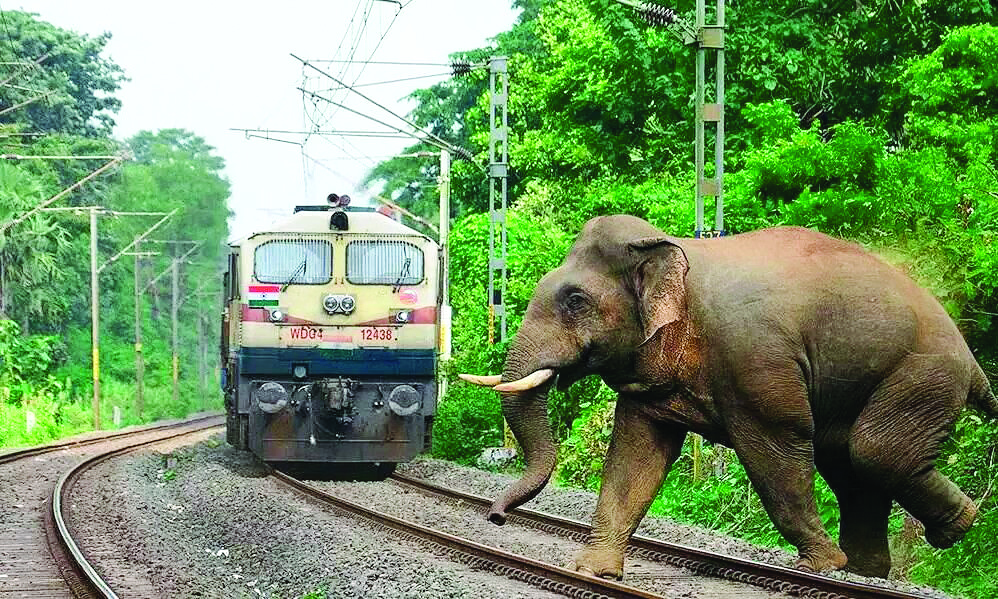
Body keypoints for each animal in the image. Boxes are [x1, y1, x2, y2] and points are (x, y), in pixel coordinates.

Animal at [460, 215, 997, 579]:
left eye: (575, 301)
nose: (496, 517)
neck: (674, 249)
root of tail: (974, 364)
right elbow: (636, 454)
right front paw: (593, 571)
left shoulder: (754, 358)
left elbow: (776, 448)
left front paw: (818, 567)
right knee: (850, 464)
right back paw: (867, 571)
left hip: (923, 376)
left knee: (872, 452)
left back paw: (953, 528)